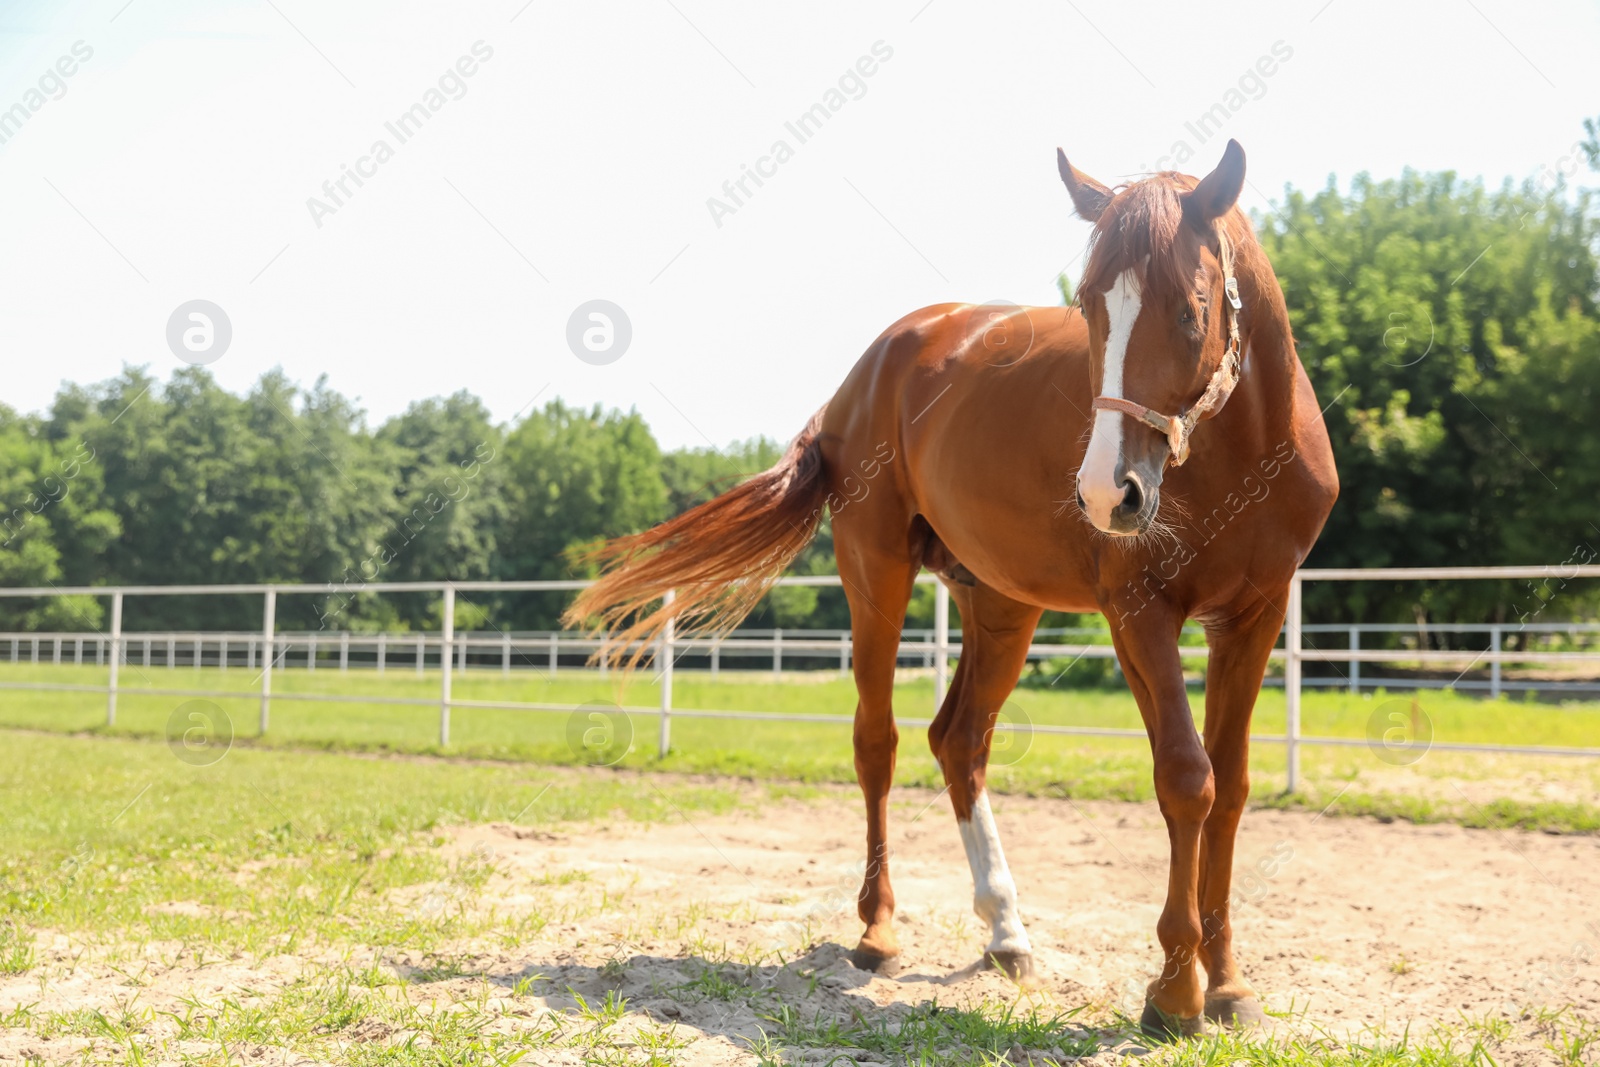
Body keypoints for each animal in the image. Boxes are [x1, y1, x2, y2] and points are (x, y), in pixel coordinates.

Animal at [566, 139, 1337, 1036]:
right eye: (1090, 306)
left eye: (1191, 308)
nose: (1108, 494)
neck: (1239, 452)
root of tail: (865, 372)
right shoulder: (1139, 615)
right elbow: (1186, 777)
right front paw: (1175, 991)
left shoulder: (1254, 616)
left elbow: (1233, 785)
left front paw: (1227, 981)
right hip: (876, 575)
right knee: (879, 741)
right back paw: (878, 928)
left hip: (1000, 603)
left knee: (959, 739)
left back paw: (1006, 930)